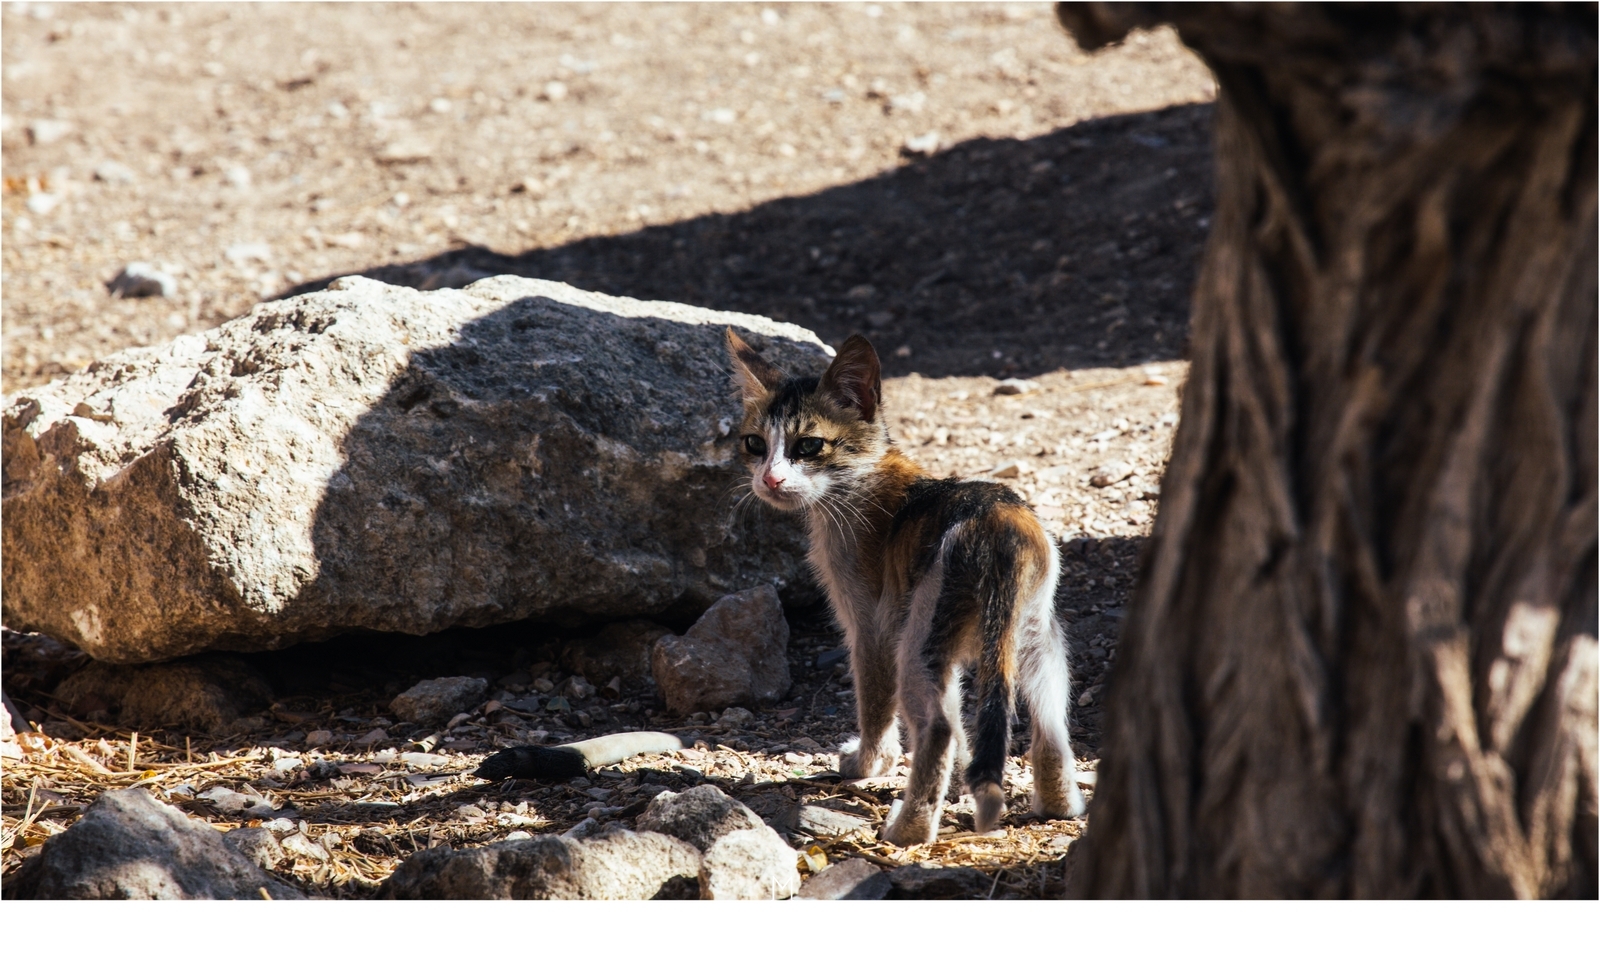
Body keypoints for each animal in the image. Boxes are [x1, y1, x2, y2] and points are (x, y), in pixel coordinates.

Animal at [726, 330, 1088, 850]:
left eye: (809, 445)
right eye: (754, 443)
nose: (769, 478)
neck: (862, 477)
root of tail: (998, 524)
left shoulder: (872, 627)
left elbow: (876, 704)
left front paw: (869, 764)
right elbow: (963, 723)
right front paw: (959, 780)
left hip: (917, 639)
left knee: (935, 727)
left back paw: (908, 831)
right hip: (1035, 637)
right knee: (1050, 722)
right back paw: (1058, 805)